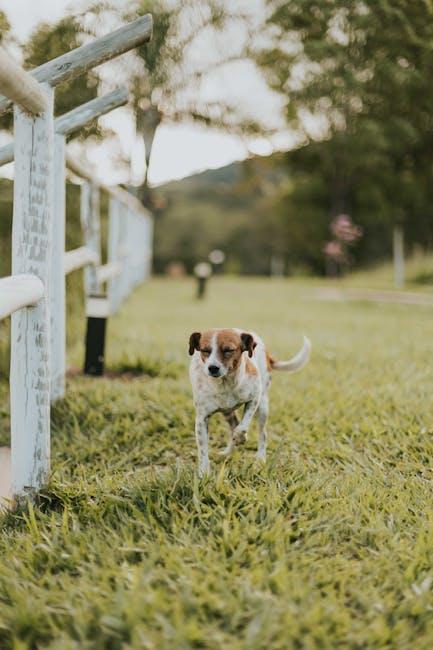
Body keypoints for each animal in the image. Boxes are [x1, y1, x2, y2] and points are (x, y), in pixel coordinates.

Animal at [187, 326, 308, 474]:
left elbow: (243, 426)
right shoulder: (201, 419)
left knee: (262, 435)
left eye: (228, 350)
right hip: (227, 413)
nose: (212, 368)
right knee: (233, 425)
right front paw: (204, 473)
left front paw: (241, 437)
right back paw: (228, 453)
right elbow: (203, 449)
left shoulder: (254, 399)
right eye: (205, 350)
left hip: (263, 407)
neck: (225, 384)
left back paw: (260, 458)